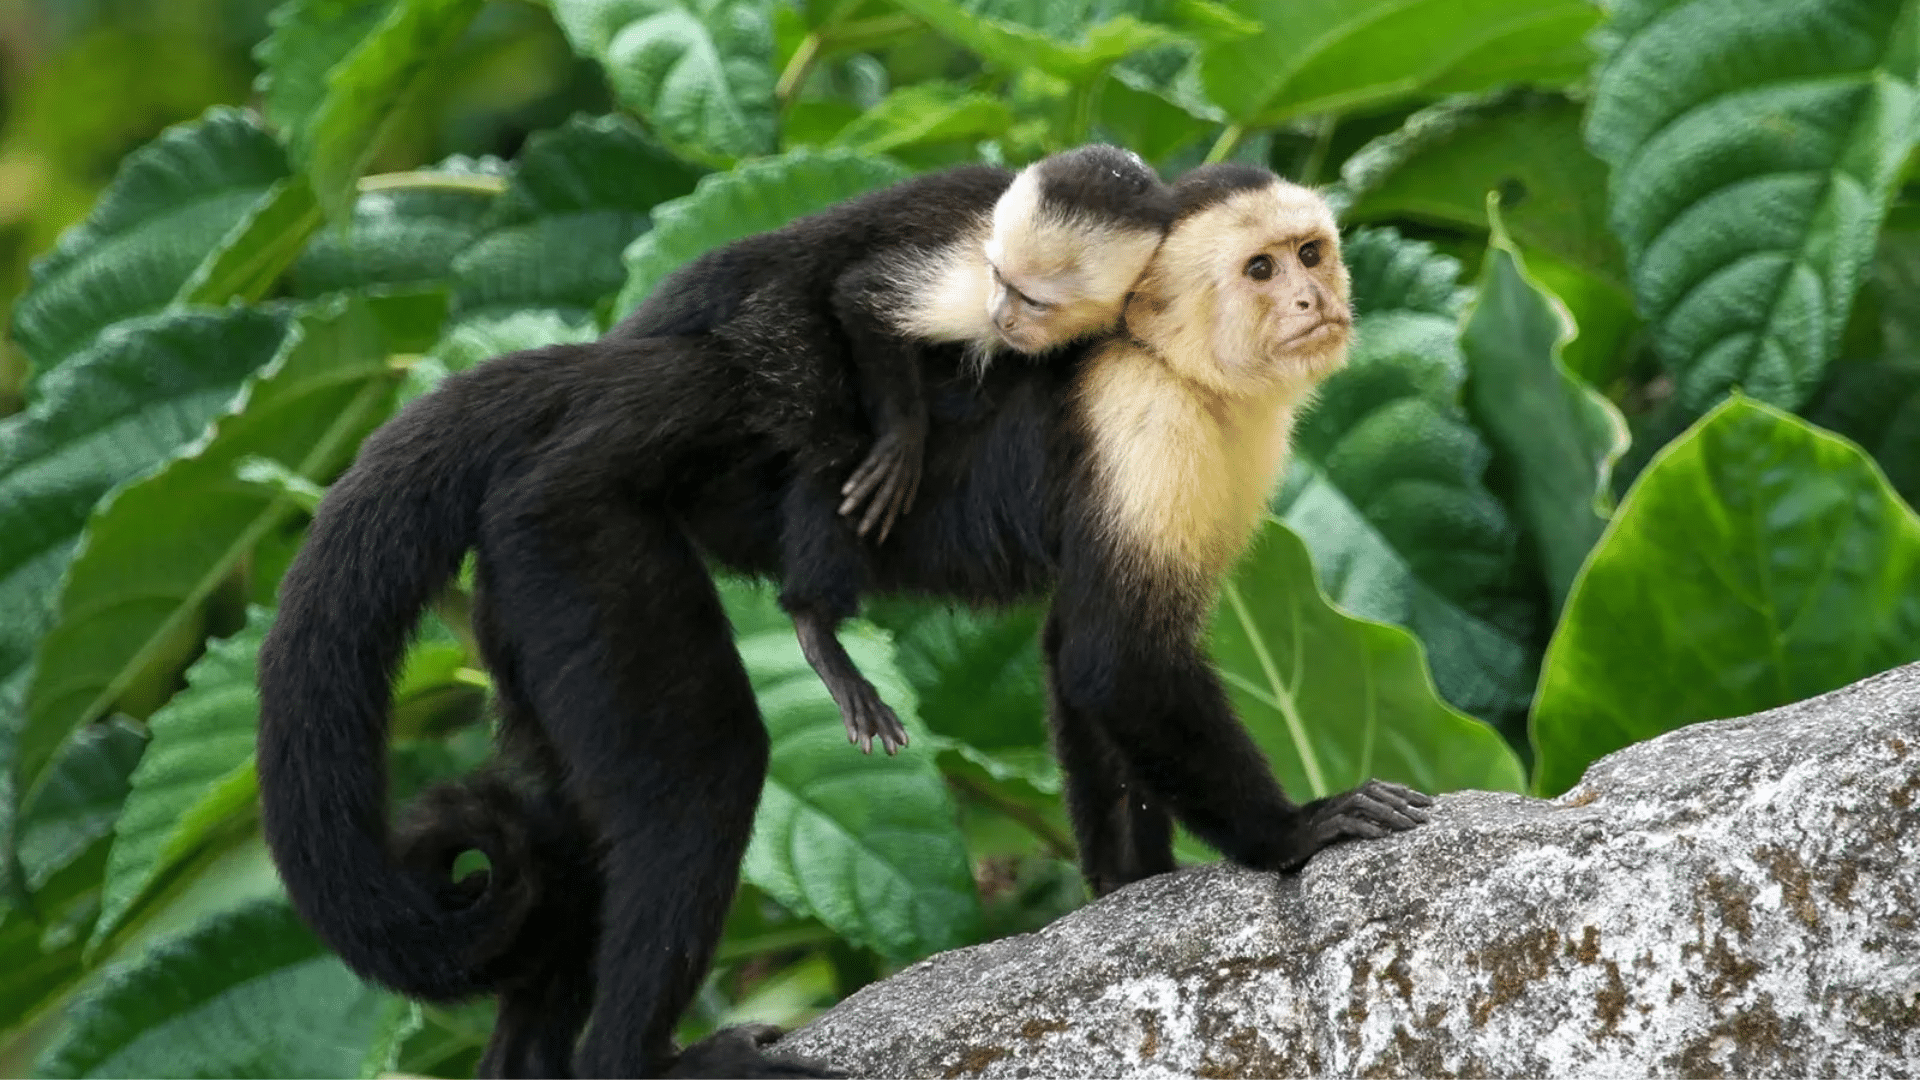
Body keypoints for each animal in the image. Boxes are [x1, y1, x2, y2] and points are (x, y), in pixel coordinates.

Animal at [255, 161, 1436, 1076]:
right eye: (1260, 270)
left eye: (1311, 253)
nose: (1313, 303)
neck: (1179, 367)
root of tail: (611, 383)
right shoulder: (1146, 427)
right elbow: (1118, 661)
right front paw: (1296, 832)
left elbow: (1075, 656)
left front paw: (1130, 890)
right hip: (577, 526)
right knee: (705, 767)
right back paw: (642, 1055)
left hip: (523, 580)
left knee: (575, 828)